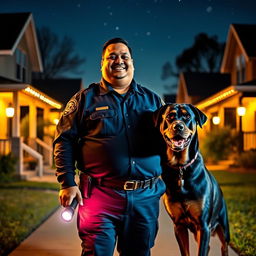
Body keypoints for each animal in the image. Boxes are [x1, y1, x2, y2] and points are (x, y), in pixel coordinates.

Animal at [154, 104, 230, 256]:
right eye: (170, 117)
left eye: (187, 116)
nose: (178, 126)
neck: (181, 167)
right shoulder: (179, 225)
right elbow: (186, 251)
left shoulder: (203, 226)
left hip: (223, 227)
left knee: (224, 246)